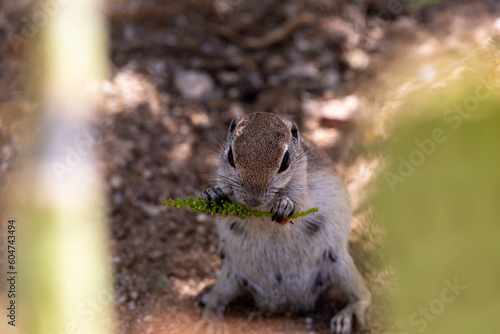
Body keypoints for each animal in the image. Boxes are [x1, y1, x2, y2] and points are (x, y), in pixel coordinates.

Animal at [200, 113, 372, 334]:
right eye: (230, 156)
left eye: (285, 161)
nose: (252, 200)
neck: (262, 209)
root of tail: (287, 303)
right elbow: (229, 213)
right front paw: (213, 194)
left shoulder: (301, 184)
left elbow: (298, 208)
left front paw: (285, 206)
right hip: (229, 276)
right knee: (216, 299)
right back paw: (211, 319)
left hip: (342, 267)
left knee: (364, 295)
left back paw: (346, 315)